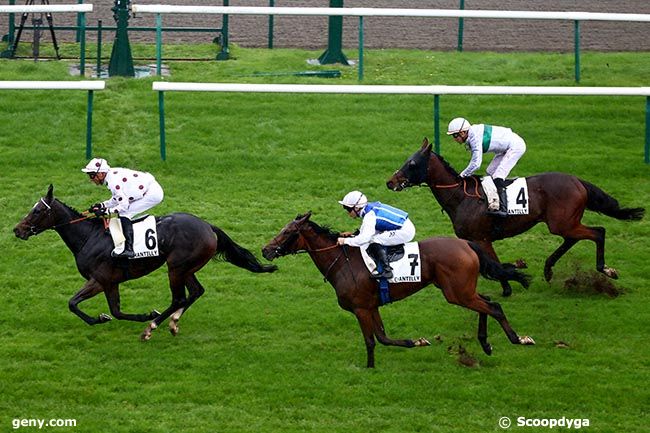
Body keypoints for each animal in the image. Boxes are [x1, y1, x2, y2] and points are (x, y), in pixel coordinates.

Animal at [13, 184, 276, 340]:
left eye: (37, 211)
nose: (18, 230)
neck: (89, 236)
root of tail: (208, 226)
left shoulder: (98, 280)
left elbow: (73, 304)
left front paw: (102, 318)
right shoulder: (111, 282)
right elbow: (117, 311)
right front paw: (129, 316)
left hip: (176, 267)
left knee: (179, 297)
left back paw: (152, 328)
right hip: (186, 267)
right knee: (196, 292)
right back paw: (172, 323)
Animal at [260, 211, 536, 366]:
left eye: (287, 232)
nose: (265, 250)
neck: (342, 262)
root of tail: (467, 244)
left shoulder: (361, 308)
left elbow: (371, 341)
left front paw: (369, 368)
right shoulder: (371, 306)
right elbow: (383, 337)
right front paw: (417, 341)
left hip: (457, 293)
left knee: (494, 306)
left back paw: (518, 338)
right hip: (463, 290)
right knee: (487, 302)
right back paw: (485, 344)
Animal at [384, 137, 644, 296]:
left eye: (412, 163)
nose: (390, 182)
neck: (461, 197)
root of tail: (577, 180)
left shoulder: (481, 238)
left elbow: (496, 264)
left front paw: (509, 284)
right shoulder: (477, 241)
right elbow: (495, 263)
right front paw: (510, 281)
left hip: (563, 222)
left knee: (598, 232)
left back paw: (605, 269)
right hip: (564, 223)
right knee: (574, 238)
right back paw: (548, 269)